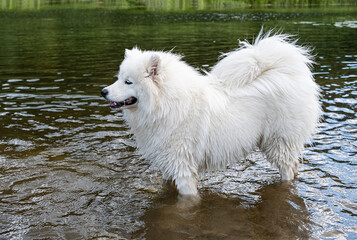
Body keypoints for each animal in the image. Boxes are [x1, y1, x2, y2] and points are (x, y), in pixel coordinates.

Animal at [100, 31, 320, 199]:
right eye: (119, 78)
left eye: (128, 82)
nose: (103, 91)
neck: (165, 104)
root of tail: (288, 70)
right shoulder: (168, 162)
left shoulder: (183, 166)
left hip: (279, 142)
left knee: (290, 169)